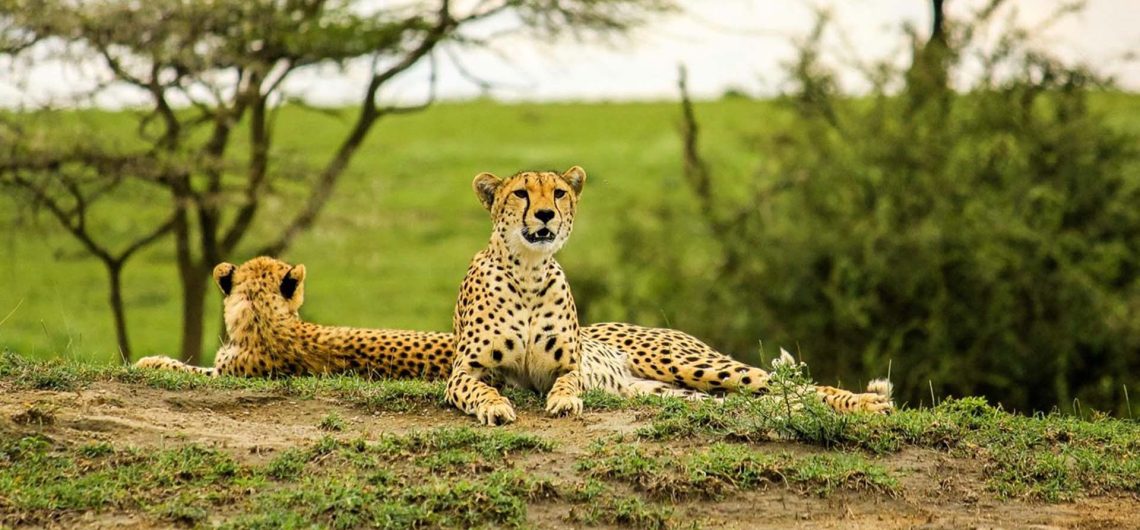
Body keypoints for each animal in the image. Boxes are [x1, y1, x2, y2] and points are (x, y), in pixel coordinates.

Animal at [440, 166, 893, 426]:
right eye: (521, 193)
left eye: (558, 193)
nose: (546, 215)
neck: (528, 271)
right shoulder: (465, 372)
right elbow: (480, 390)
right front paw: (495, 406)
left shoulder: (567, 365)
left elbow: (568, 382)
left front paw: (565, 402)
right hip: (679, 390)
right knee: (772, 398)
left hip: (690, 364)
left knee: (791, 385)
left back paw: (868, 404)